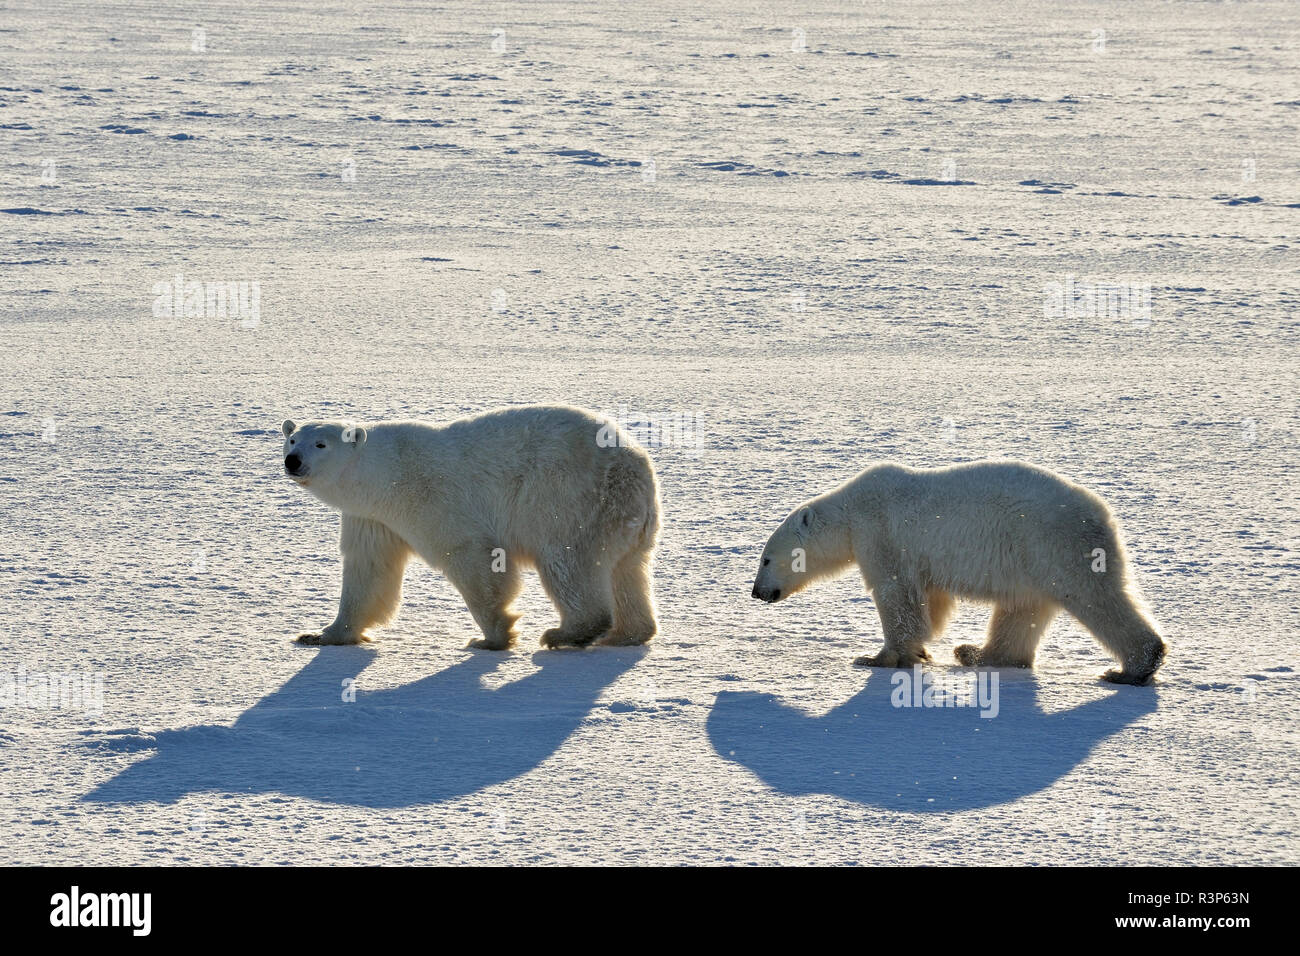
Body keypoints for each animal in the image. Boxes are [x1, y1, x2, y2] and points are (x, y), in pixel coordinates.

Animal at [278, 403, 655, 650]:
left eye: (321, 444)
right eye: (292, 440)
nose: (292, 461)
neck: (381, 474)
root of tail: (635, 466)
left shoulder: (429, 497)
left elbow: (469, 555)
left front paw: (491, 637)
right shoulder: (372, 518)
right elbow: (367, 571)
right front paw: (321, 635)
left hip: (566, 499)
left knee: (567, 562)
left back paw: (567, 633)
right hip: (621, 518)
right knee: (626, 572)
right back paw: (628, 633)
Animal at [754, 460, 1170, 686]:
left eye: (765, 560)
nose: (757, 592)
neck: (852, 509)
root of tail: (1104, 515)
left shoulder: (881, 532)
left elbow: (895, 596)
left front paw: (876, 658)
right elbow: (929, 601)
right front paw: (922, 649)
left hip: (1054, 544)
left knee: (1093, 597)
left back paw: (1134, 667)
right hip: (1031, 560)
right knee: (1022, 611)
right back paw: (975, 653)